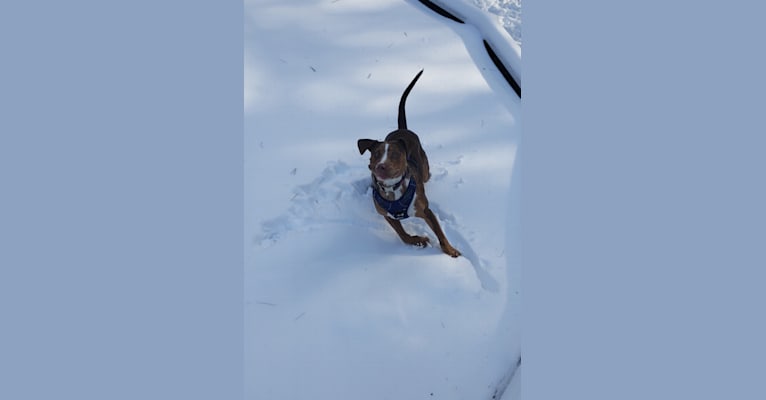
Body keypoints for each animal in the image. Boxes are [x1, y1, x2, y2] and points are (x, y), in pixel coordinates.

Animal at [360, 70, 462, 258]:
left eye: (395, 154)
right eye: (376, 154)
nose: (380, 167)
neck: (392, 189)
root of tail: (403, 129)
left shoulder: (426, 211)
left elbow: (441, 235)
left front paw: (450, 250)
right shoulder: (387, 215)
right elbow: (402, 235)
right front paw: (418, 240)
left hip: (425, 170)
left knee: (427, 174)